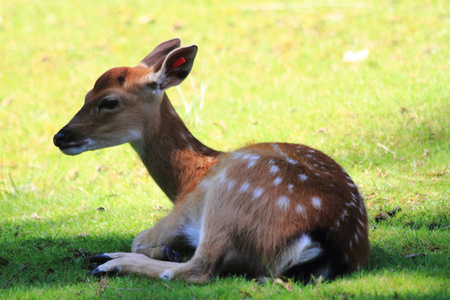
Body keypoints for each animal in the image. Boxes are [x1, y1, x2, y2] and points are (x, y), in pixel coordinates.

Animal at [53, 38, 370, 284]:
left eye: (109, 101)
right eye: (86, 94)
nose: (60, 137)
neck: (188, 180)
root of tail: (327, 242)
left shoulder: (182, 212)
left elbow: (139, 238)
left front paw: (160, 250)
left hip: (227, 203)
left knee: (199, 269)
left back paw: (110, 261)